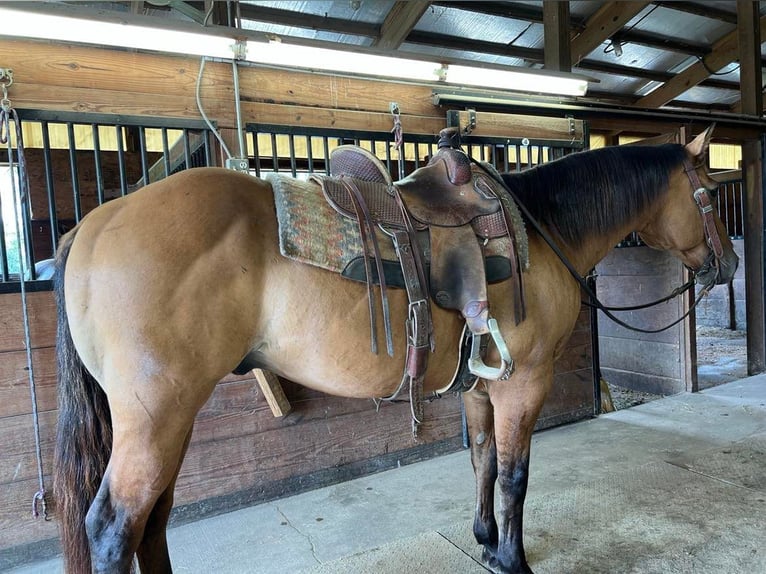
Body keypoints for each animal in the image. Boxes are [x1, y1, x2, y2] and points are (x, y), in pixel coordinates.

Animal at [52, 124, 736, 572]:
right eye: (707, 191)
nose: (728, 264)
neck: (541, 229)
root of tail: (93, 224)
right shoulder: (524, 382)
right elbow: (514, 474)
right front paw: (513, 560)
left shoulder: (482, 386)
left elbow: (482, 460)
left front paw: (485, 540)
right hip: (155, 416)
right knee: (114, 528)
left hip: (171, 418)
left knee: (153, 520)